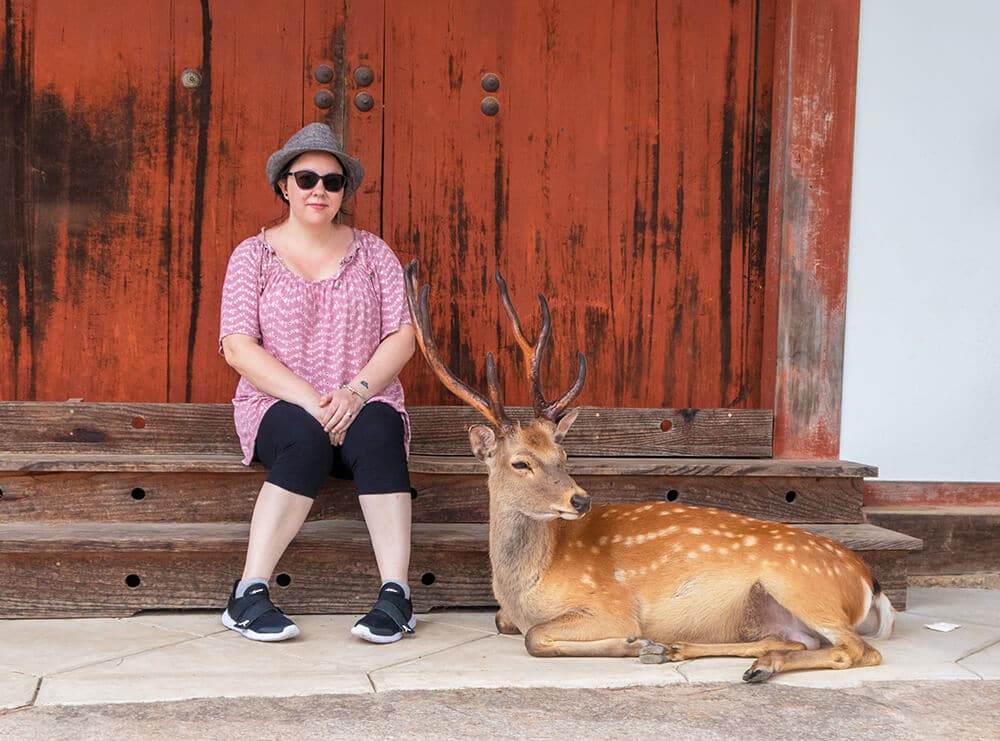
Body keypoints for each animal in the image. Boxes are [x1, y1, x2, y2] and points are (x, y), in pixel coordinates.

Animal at [402, 260, 896, 684]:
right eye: (520, 461)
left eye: (565, 454)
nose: (580, 499)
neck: (524, 588)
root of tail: (870, 584)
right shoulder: (511, 611)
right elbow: (506, 623)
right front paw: (645, 646)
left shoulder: (609, 603)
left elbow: (535, 637)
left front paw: (631, 642)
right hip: (779, 611)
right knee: (788, 639)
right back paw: (697, 652)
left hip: (802, 583)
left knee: (858, 650)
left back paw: (720, 658)